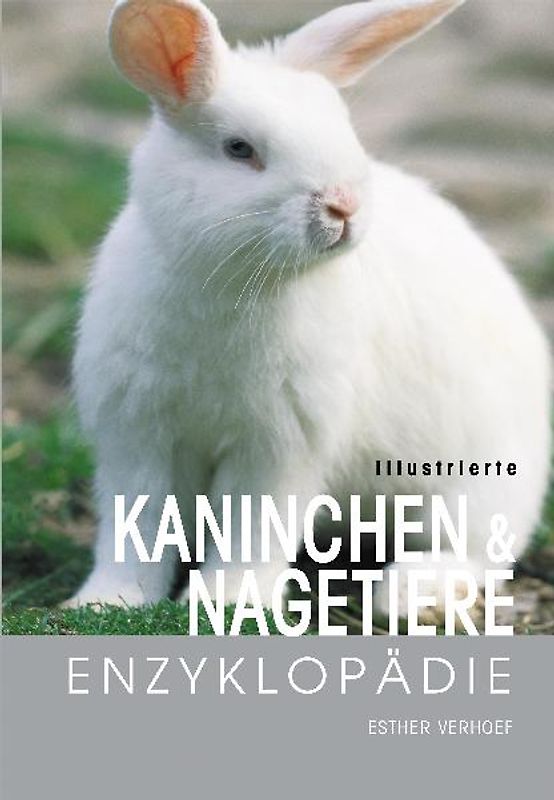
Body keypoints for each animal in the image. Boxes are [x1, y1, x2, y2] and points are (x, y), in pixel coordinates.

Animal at [68, 0, 551, 626]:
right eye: (239, 149)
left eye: (344, 130)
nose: (343, 205)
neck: (234, 283)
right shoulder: (137, 433)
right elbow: (137, 527)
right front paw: (107, 601)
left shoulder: (280, 445)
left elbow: (253, 528)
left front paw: (230, 601)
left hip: (478, 485)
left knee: (474, 552)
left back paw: (411, 595)